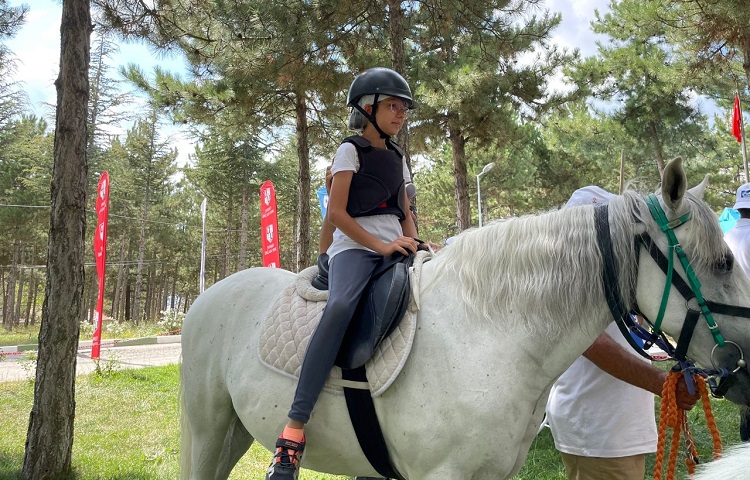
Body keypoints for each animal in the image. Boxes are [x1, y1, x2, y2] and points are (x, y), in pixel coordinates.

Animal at [180, 158, 750, 479]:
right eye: (724, 262)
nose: (744, 368)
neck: (489, 335)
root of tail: (207, 297)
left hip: (233, 433)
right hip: (206, 433)